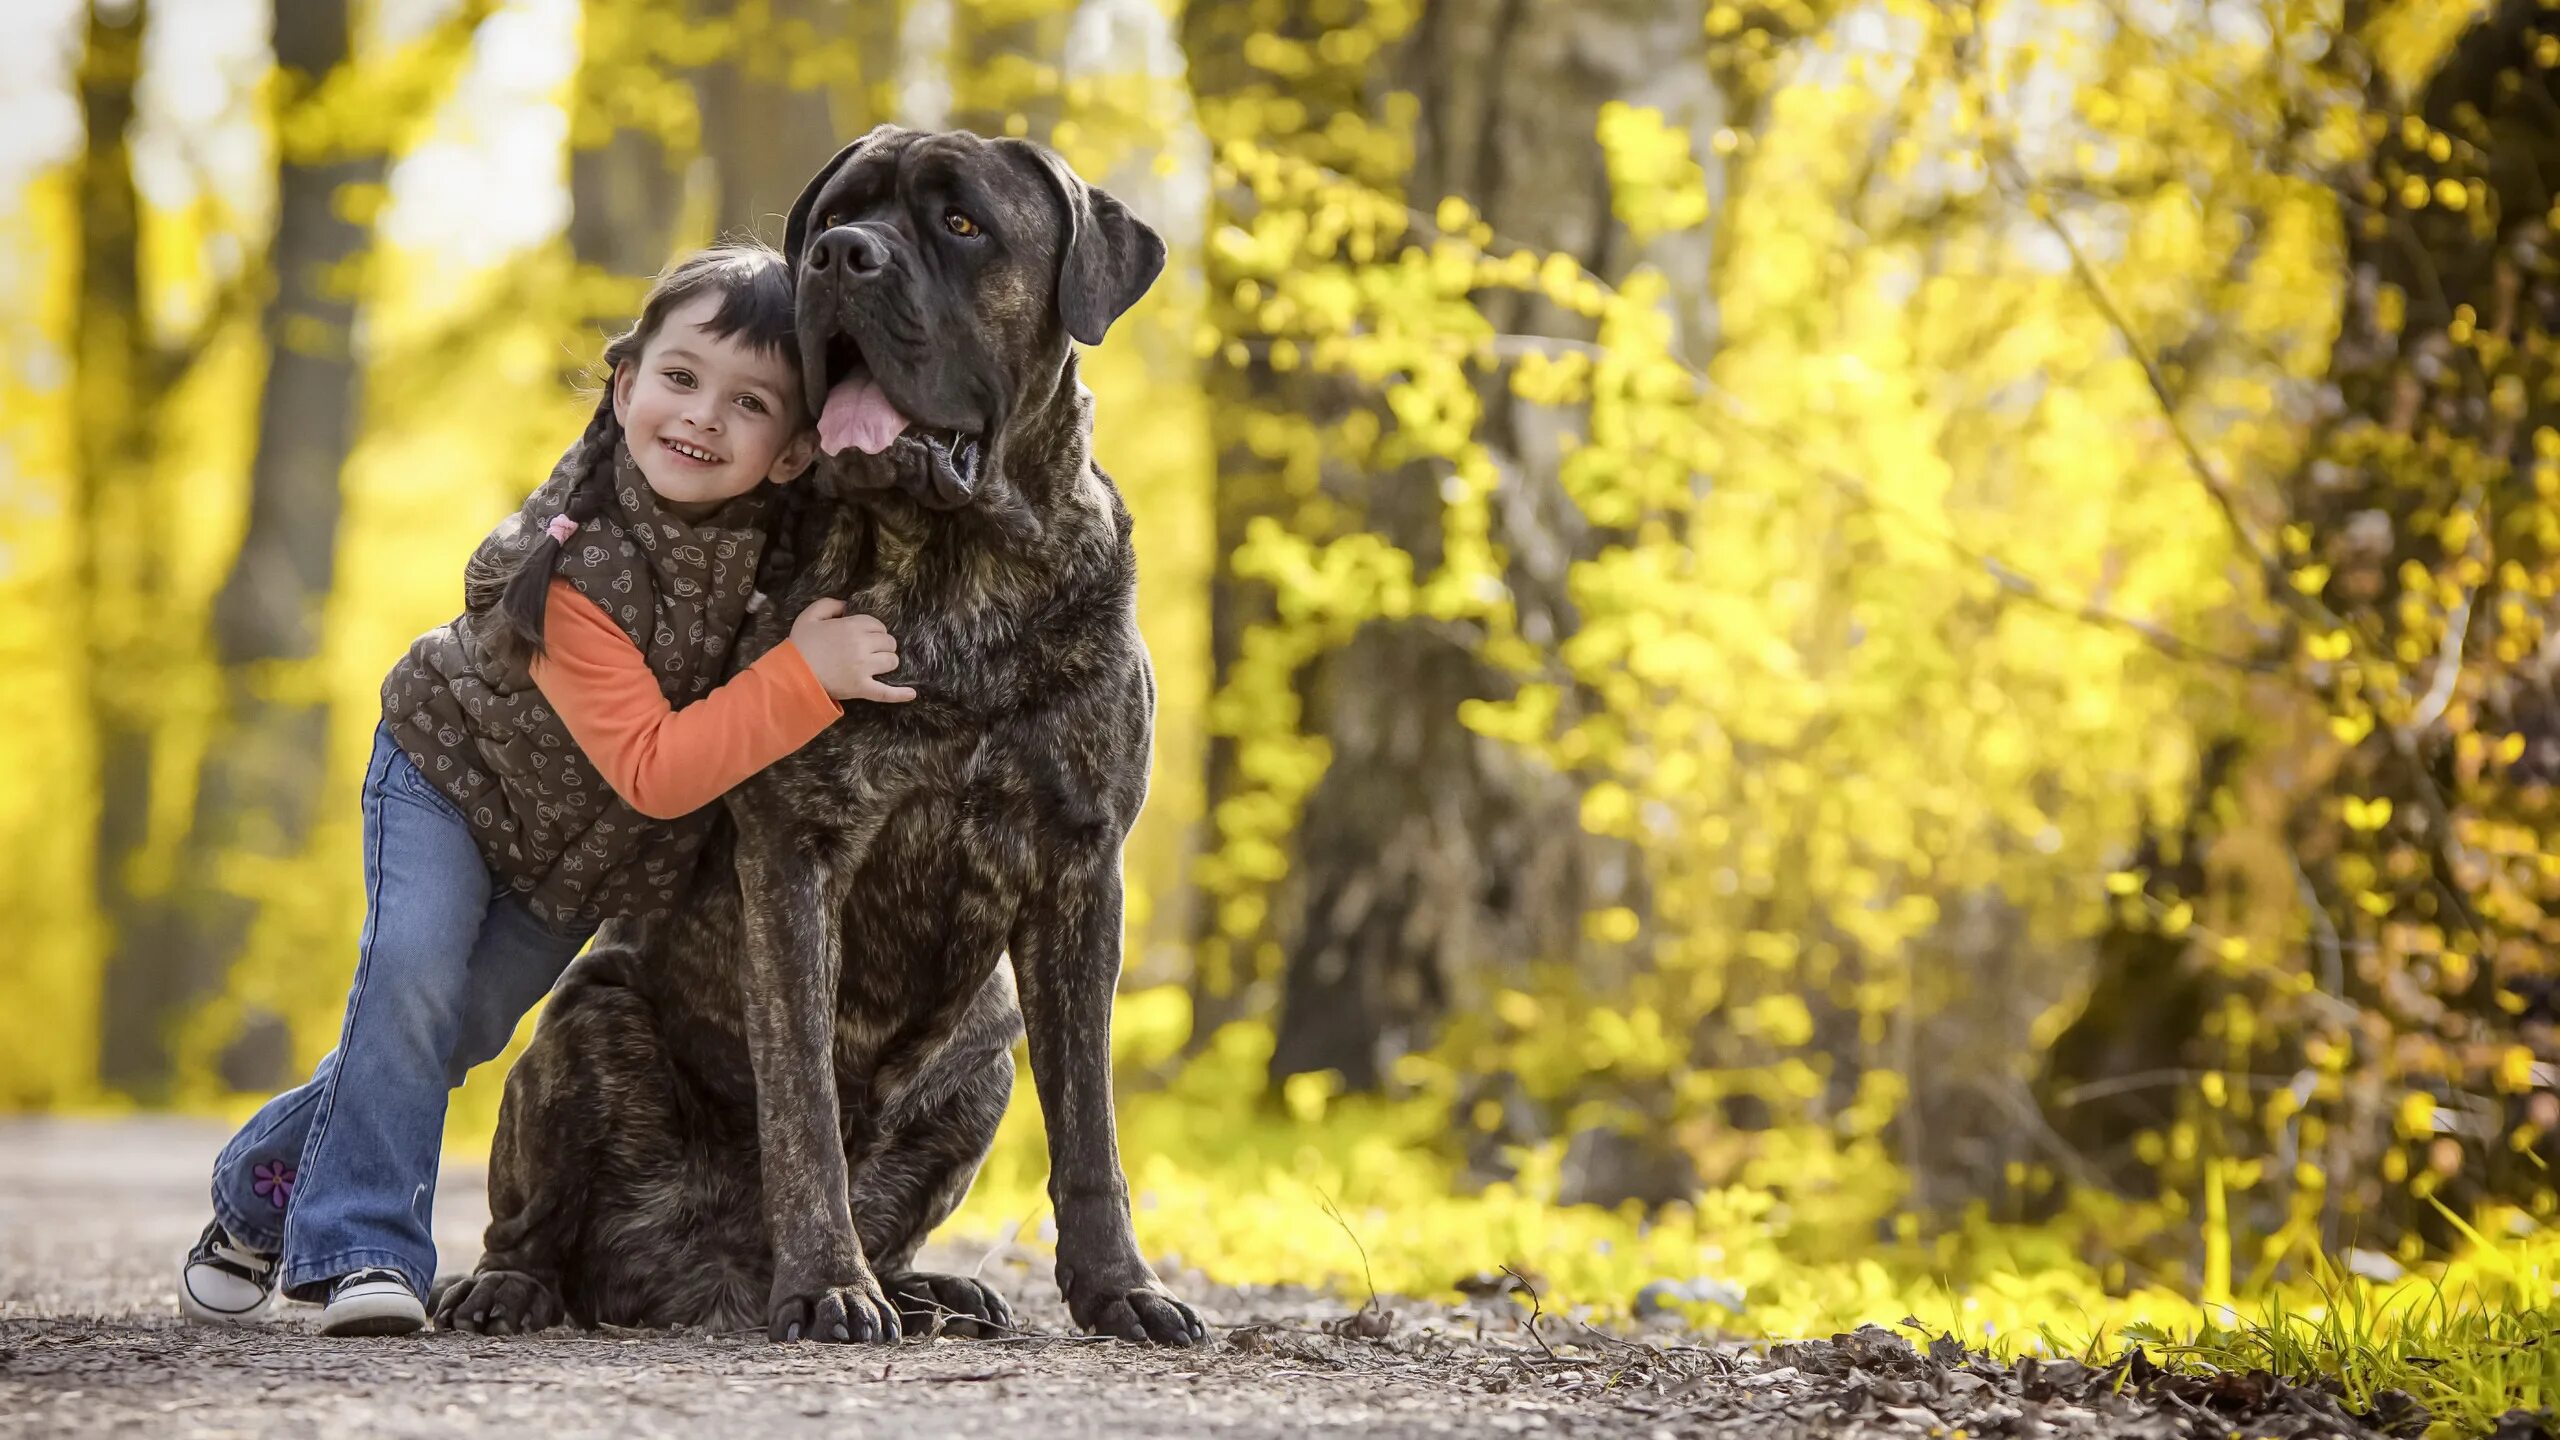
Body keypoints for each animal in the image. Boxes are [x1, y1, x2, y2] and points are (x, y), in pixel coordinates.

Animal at [435, 128, 1203, 1342]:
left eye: (963, 223)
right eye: (838, 217)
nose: (845, 256)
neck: (954, 570)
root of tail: (706, 1284)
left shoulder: (1083, 865)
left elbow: (1090, 1124)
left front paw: (1121, 1289)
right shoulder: (797, 853)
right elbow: (801, 1098)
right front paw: (829, 1283)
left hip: (981, 1059)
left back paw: (936, 1290)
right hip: (586, 1023)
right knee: (536, 1225)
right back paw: (514, 1285)